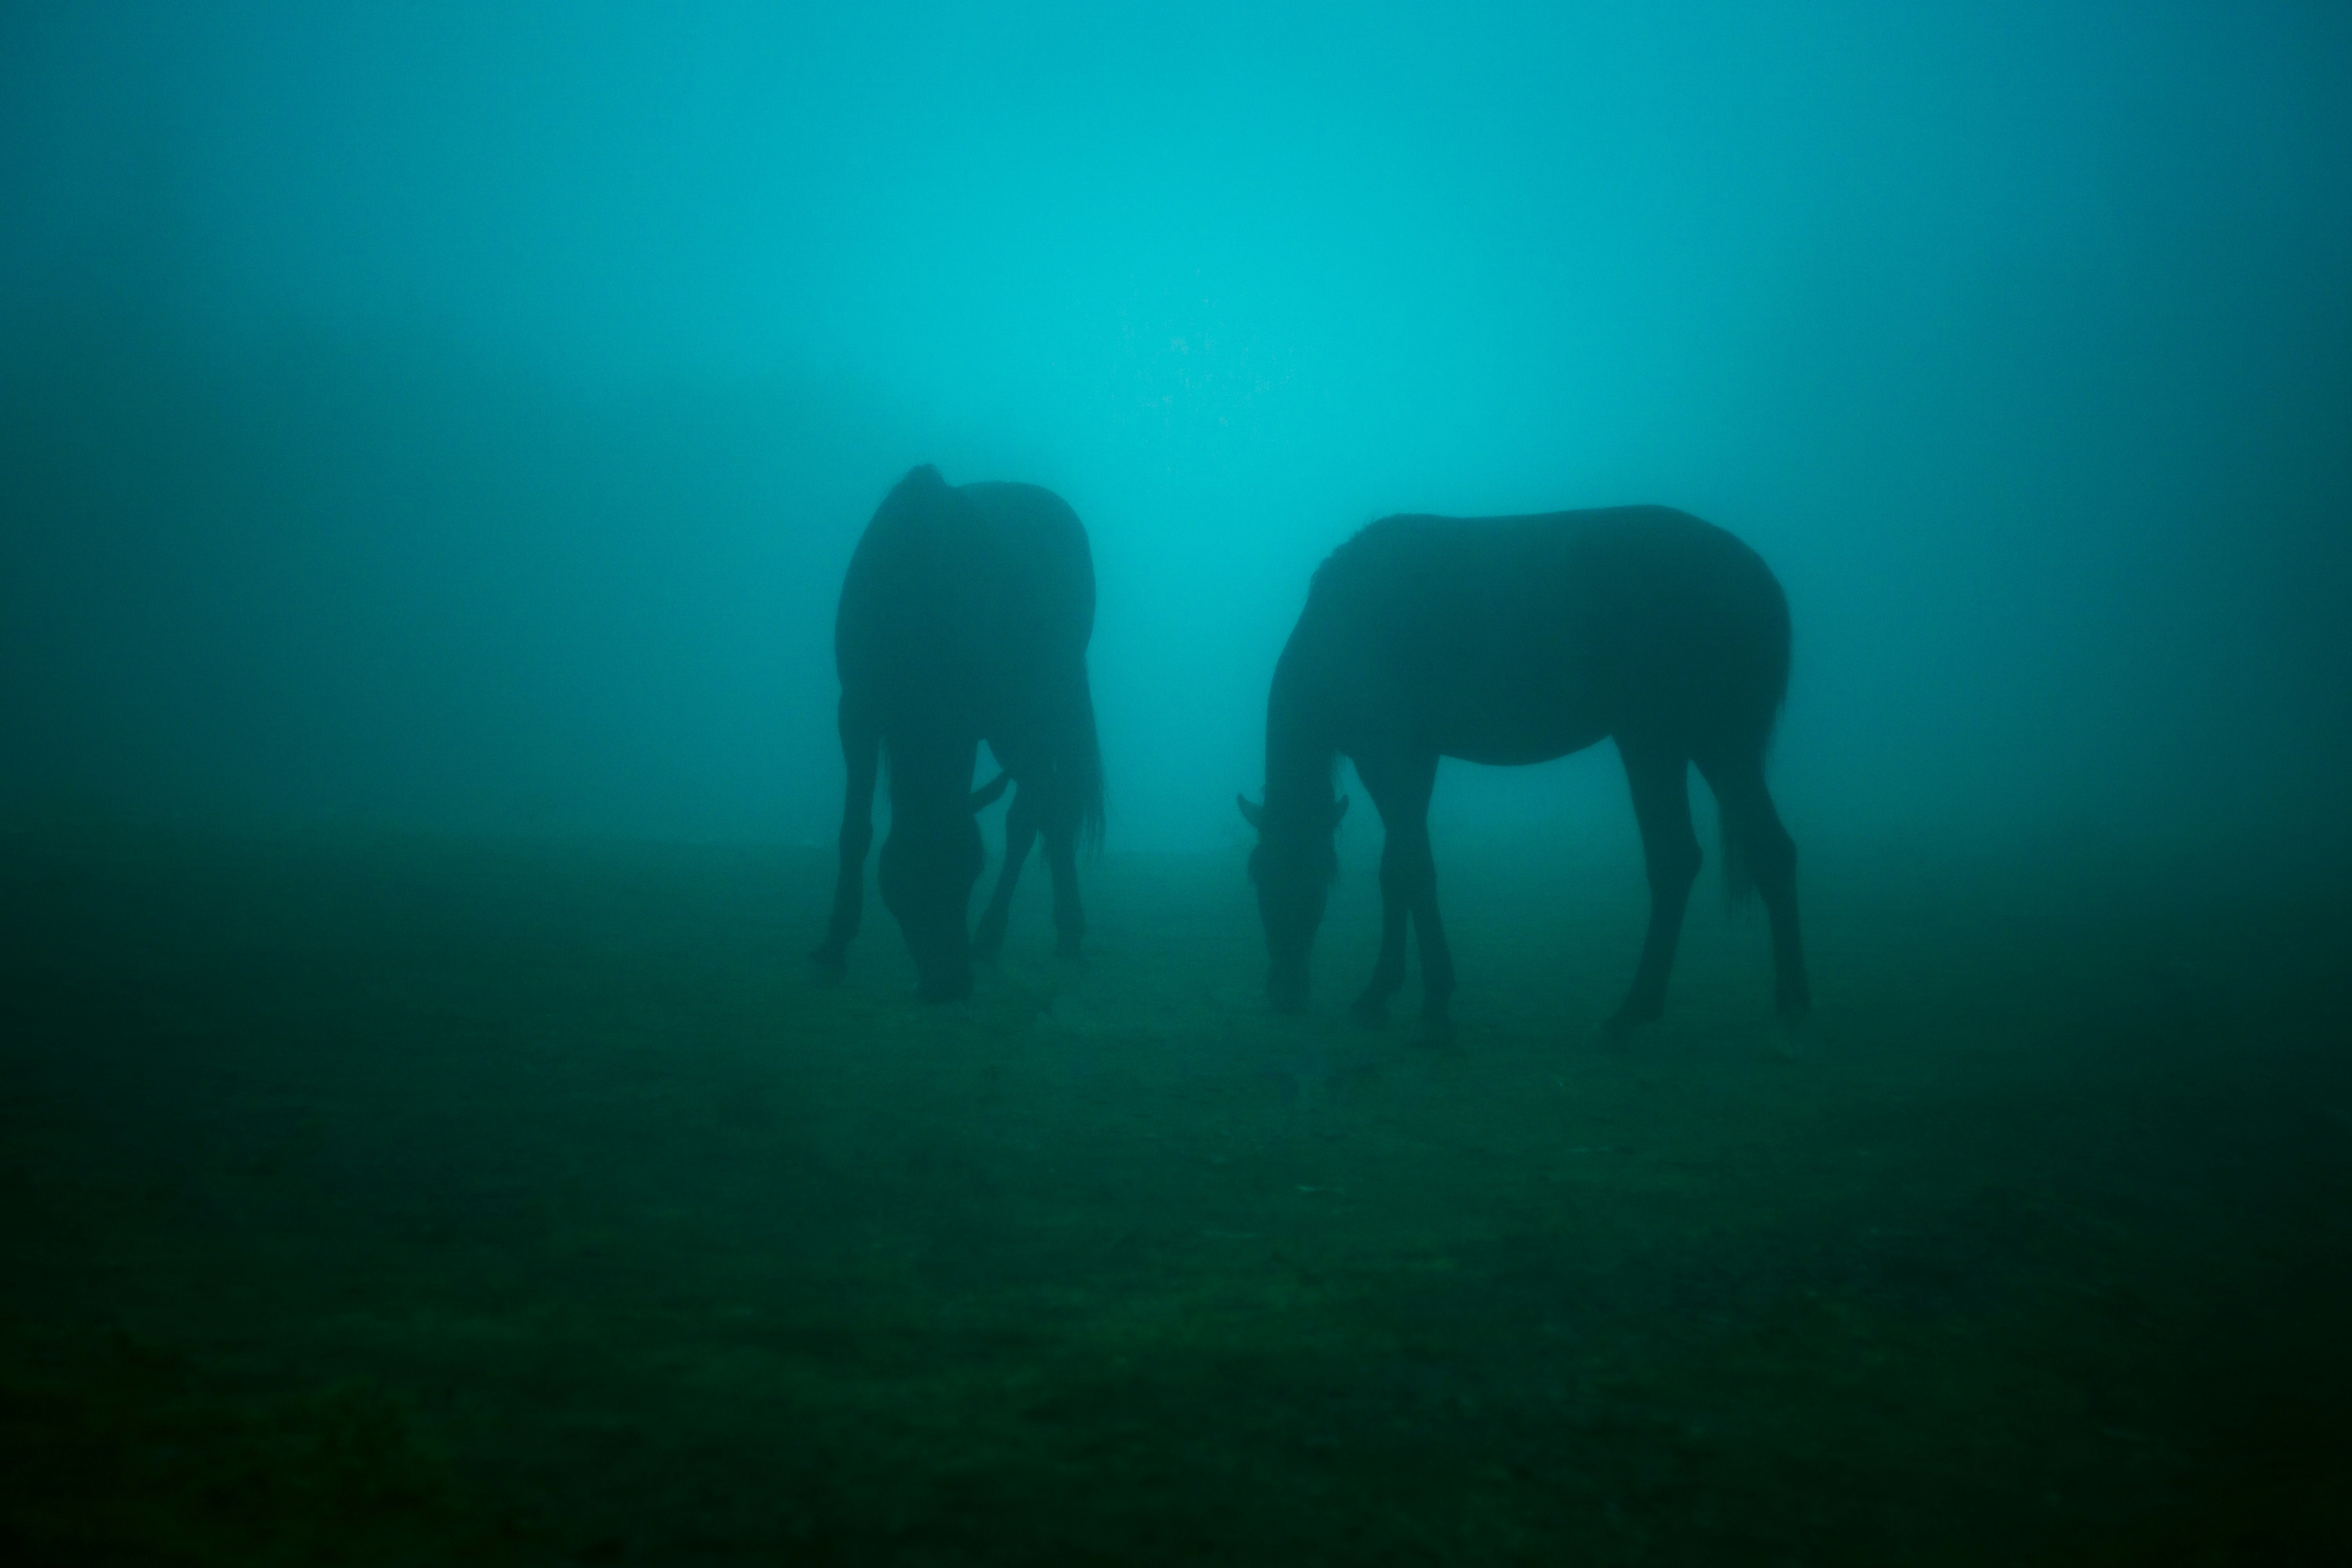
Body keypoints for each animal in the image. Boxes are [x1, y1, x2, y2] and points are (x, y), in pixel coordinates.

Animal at [812, 465, 1103, 1001]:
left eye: (971, 869)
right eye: (904, 879)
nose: (949, 983)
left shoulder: (978, 716)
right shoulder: (857, 712)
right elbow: (855, 830)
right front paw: (834, 944)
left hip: (1034, 713)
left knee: (1036, 810)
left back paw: (1004, 934)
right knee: (1050, 805)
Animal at [1238, 505, 1807, 1040]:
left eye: (1297, 878)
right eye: (1258, 875)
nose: (1285, 992)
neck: (1339, 627)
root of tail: (1755, 578)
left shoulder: (1388, 761)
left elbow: (1414, 872)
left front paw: (1435, 1003)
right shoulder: (1415, 762)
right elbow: (1396, 872)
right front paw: (1380, 993)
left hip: (1658, 742)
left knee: (1678, 860)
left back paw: (1632, 1014)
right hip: (1710, 746)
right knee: (1766, 851)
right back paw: (1782, 1006)